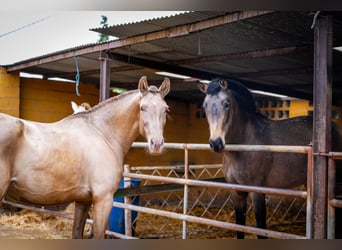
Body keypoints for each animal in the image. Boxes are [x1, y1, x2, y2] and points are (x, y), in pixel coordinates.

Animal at [0, 75, 171, 238]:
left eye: (166, 110)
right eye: (142, 108)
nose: (156, 144)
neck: (102, 132)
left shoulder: (83, 201)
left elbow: (77, 233)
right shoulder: (103, 200)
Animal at [198, 77, 342, 238]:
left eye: (226, 104)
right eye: (204, 105)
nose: (215, 143)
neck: (246, 143)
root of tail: (335, 128)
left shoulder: (258, 192)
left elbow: (261, 230)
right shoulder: (236, 192)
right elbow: (239, 228)